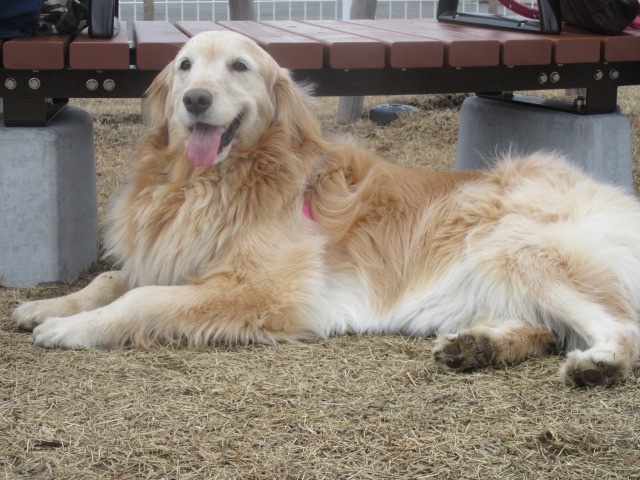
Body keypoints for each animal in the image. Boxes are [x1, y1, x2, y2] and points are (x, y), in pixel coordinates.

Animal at [12, 30, 640, 388]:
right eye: (186, 66)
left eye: (239, 67)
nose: (195, 100)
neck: (208, 183)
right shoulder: (171, 257)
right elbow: (112, 279)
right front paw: (48, 306)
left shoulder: (263, 289)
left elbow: (139, 299)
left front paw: (71, 328)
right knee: (547, 329)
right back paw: (477, 346)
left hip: (511, 243)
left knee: (620, 328)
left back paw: (599, 365)